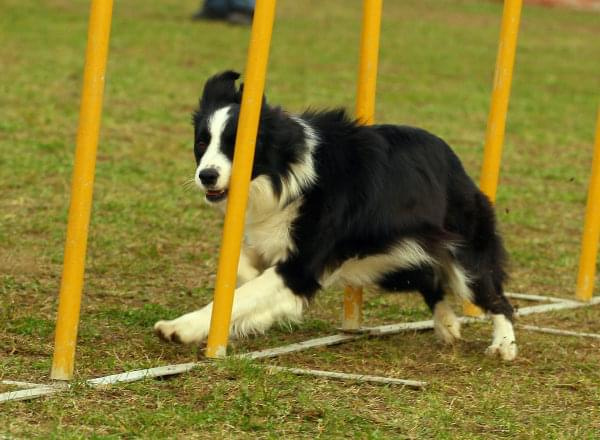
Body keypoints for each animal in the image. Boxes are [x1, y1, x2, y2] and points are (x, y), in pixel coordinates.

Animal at [155, 70, 516, 360]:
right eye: (202, 143)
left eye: (236, 146)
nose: (207, 176)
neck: (285, 171)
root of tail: (455, 162)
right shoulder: (272, 238)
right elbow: (244, 272)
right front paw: (256, 311)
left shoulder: (302, 266)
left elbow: (248, 291)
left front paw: (181, 327)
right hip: (395, 262)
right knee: (430, 281)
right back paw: (447, 324)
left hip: (465, 252)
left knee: (496, 297)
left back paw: (504, 345)